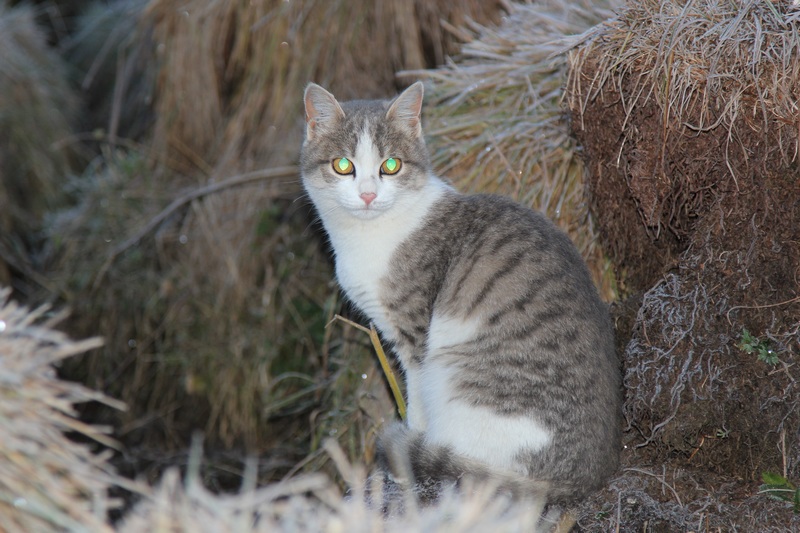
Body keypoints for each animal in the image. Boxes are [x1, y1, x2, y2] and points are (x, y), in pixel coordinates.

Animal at [298, 80, 620, 512]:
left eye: (391, 165)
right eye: (343, 165)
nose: (367, 195)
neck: (366, 236)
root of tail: (581, 481)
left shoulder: (414, 336)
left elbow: (416, 402)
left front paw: (408, 453)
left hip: (458, 381)